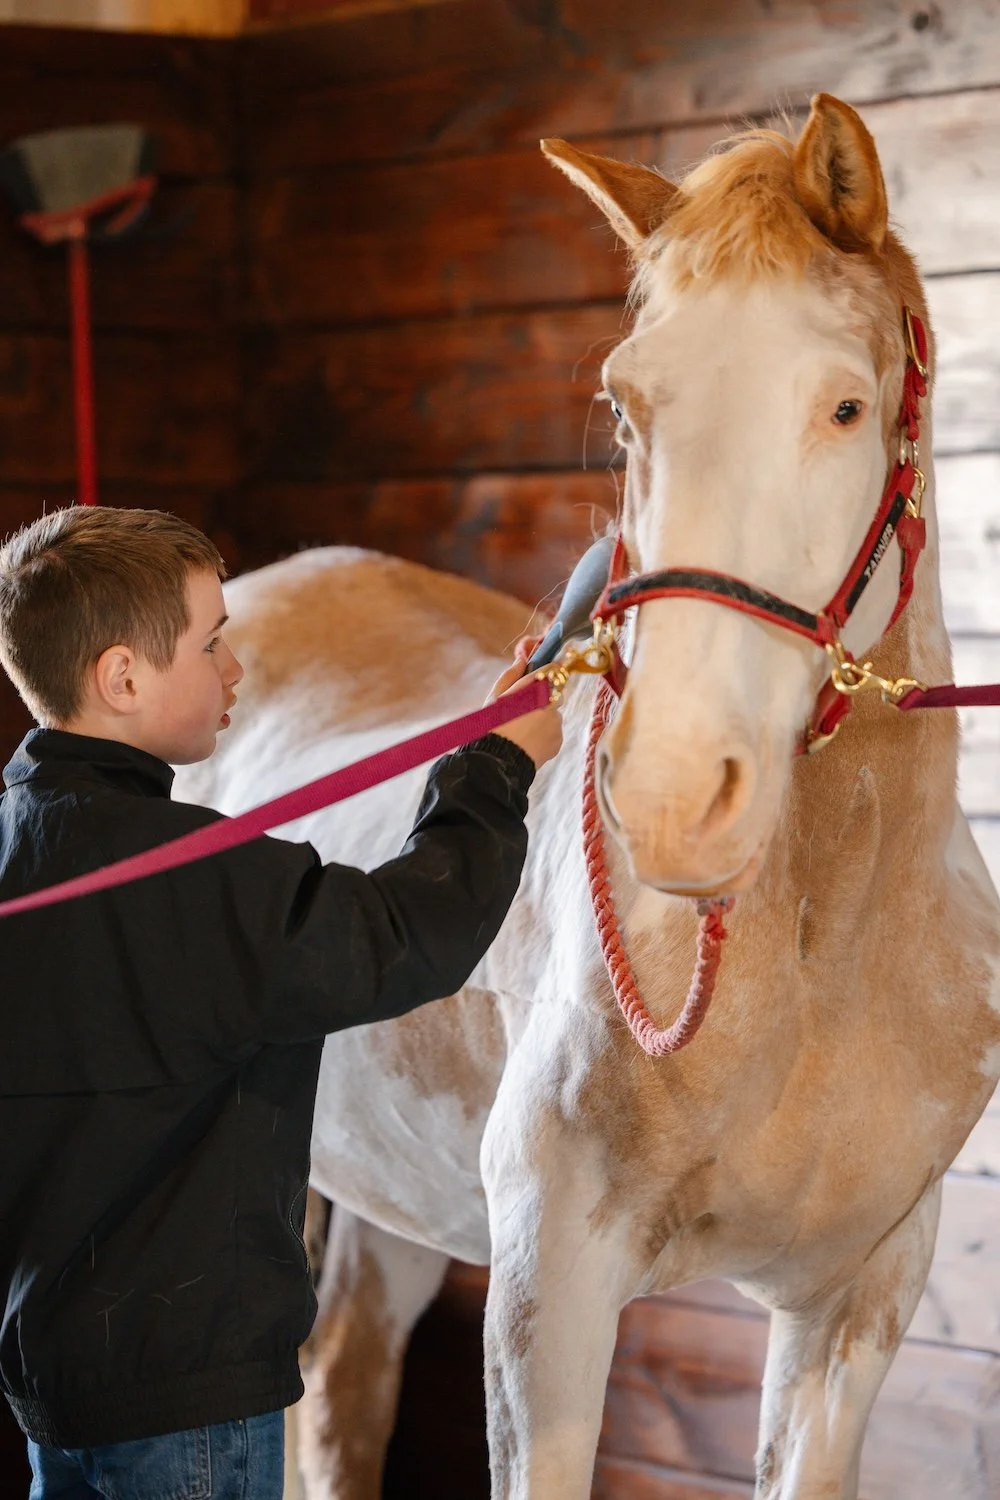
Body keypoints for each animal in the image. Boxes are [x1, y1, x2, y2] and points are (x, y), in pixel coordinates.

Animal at [173, 94, 1000, 1499]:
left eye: (845, 405)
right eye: (624, 408)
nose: (671, 797)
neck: (827, 947)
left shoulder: (853, 1304)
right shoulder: (548, 1295)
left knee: (341, 1385)